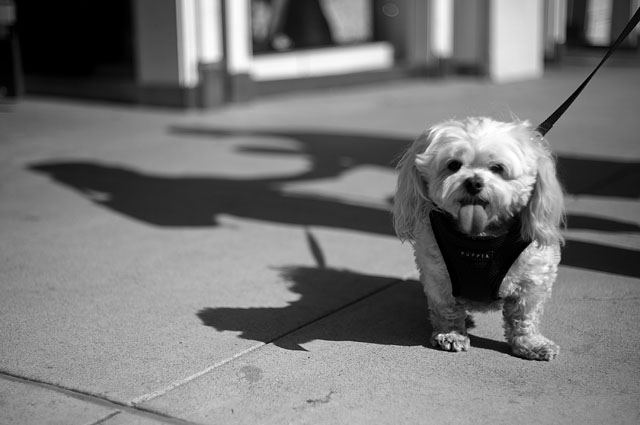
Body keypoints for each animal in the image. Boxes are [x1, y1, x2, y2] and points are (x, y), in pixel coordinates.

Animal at [390, 117, 564, 360]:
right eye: (453, 165)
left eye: (497, 168)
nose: (473, 182)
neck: (479, 238)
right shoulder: (438, 276)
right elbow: (447, 309)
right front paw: (451, 334)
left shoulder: (533, 281)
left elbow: (524, 316)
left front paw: (530, 343)